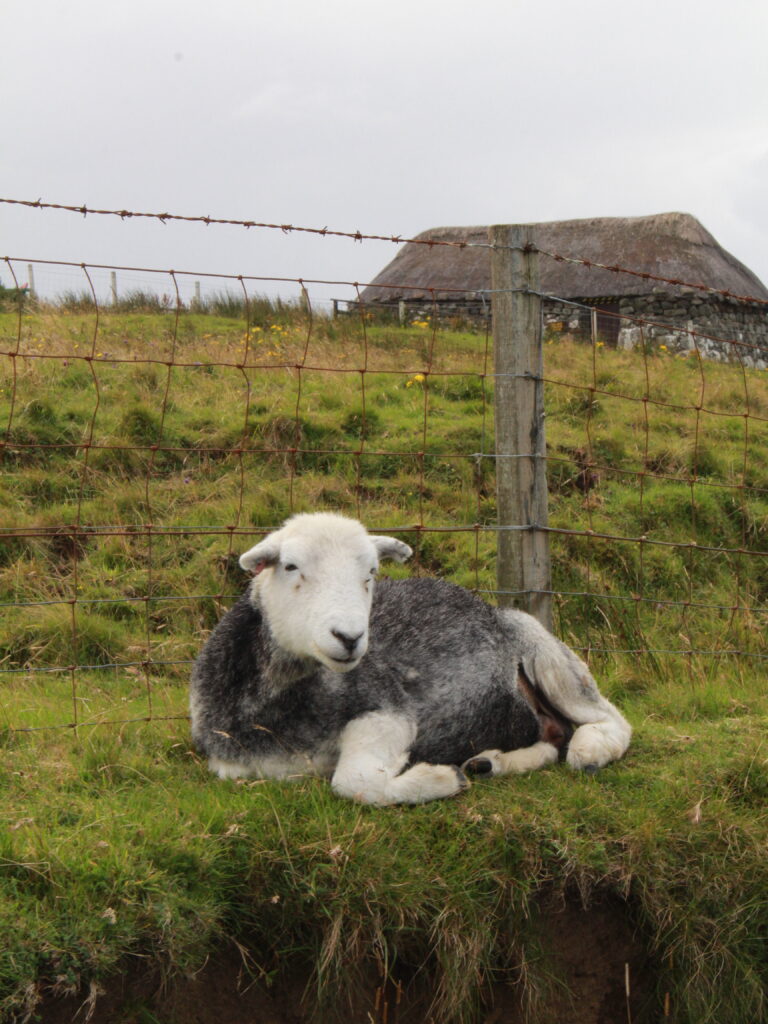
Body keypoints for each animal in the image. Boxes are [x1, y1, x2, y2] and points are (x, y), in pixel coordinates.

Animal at [191, 516, 630, 802]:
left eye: (371, 572)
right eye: (290, 566)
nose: (349, 638)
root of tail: (487, 606)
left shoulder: (389, 713)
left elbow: (353, 782)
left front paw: (442, 780)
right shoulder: (227, 765)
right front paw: (452, 776)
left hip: (539, 644)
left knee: (608, 719)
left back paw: (590, 751)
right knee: (552, 738)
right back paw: (489, 762)